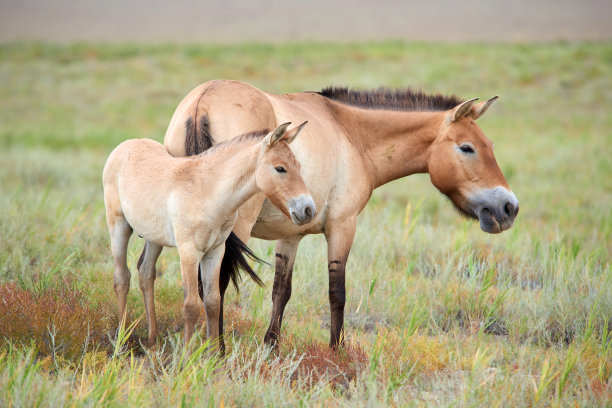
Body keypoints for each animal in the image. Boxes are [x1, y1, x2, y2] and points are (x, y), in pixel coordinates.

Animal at [160, 80, 520, 348]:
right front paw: (337, 349)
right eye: (467, 148)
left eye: (488, 145)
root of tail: (202, 103)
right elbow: (337, 293)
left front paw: (271, 345)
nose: (509, 207)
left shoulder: (291, 235)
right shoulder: (342, 227)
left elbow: (281, 291)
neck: (350, 132)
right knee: (216, 286)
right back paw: (217, 351)